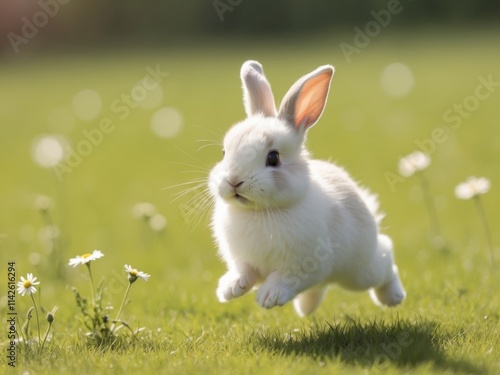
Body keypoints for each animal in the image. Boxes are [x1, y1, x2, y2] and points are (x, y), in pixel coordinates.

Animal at [208, 60, 406, 316]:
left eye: (273, 158)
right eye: (224, 153)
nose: (234, 181)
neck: (259, 212)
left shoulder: (301, 265)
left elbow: (284, 278)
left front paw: (269, 297)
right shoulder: (243, 260)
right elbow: (244, 272)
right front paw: (230, 289)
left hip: (361, 270)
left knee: (386, 256)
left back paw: (394, 297)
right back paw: (306, 309)